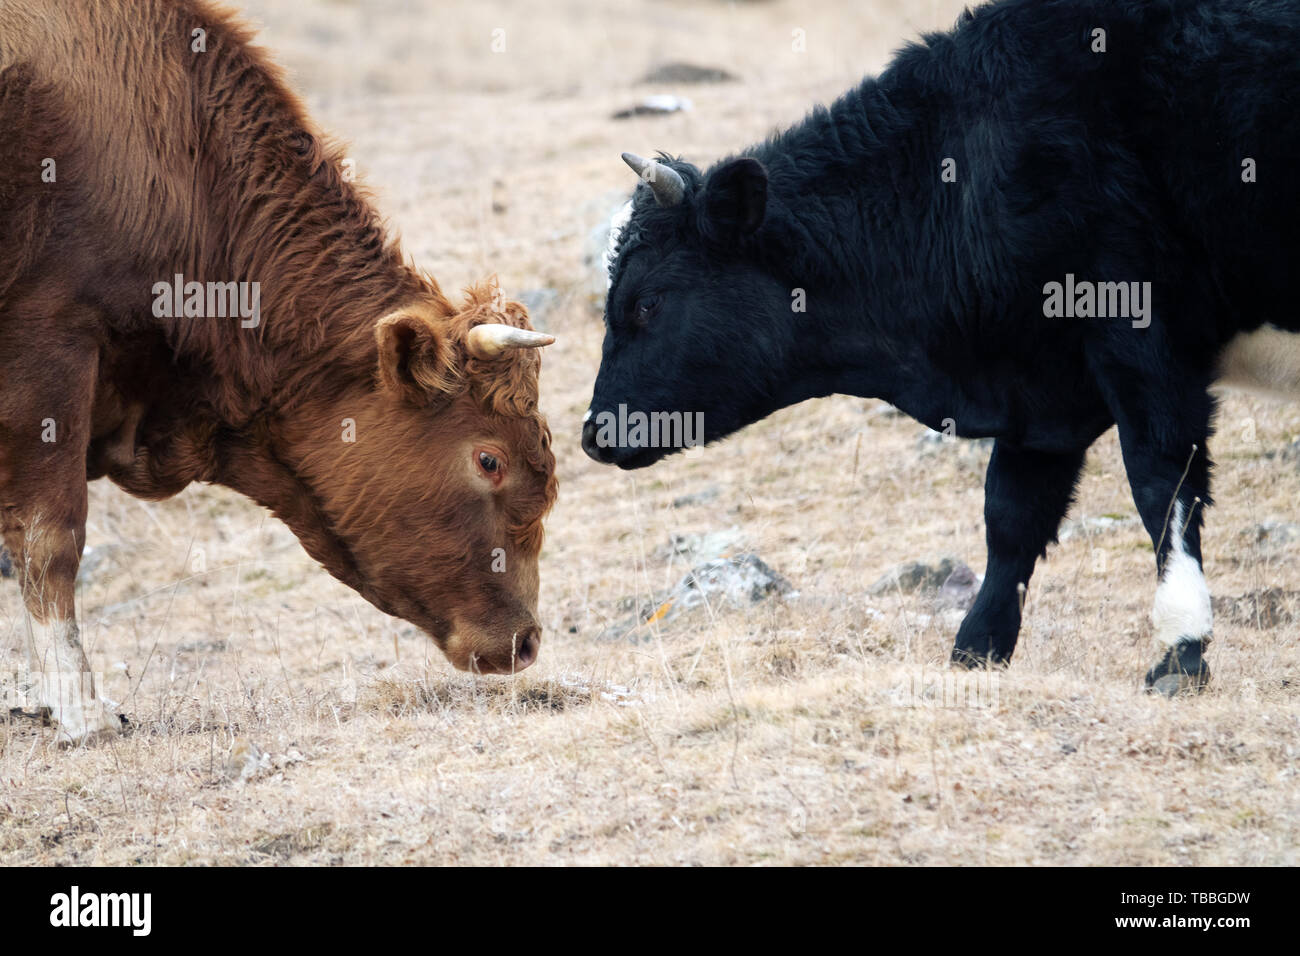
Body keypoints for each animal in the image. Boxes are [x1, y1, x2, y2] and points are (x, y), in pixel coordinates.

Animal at [583, 0, 1300, 693]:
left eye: (644, 302)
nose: (595, 433)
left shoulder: (1142, 342)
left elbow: (1162, 483)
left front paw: (1181, 649)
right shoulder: (1044, 390)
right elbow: (1012, 515)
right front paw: (976, 649)